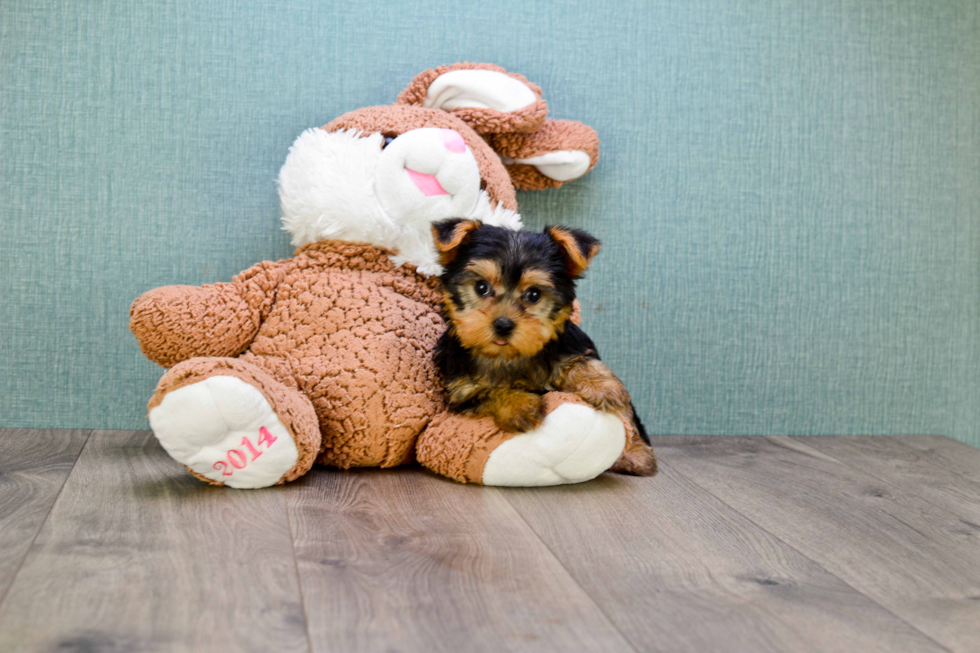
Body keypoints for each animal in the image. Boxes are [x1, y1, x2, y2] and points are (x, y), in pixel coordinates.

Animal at [430, 218, 656, 474]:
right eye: (481, 287)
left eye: (534, 294)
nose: (503, 324)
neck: (509, 356)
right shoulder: (463, 390)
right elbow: (488, 392)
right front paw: (519, 405)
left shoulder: (571, 348)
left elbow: (582, 364)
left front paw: (603, 387)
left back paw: (634, 452)